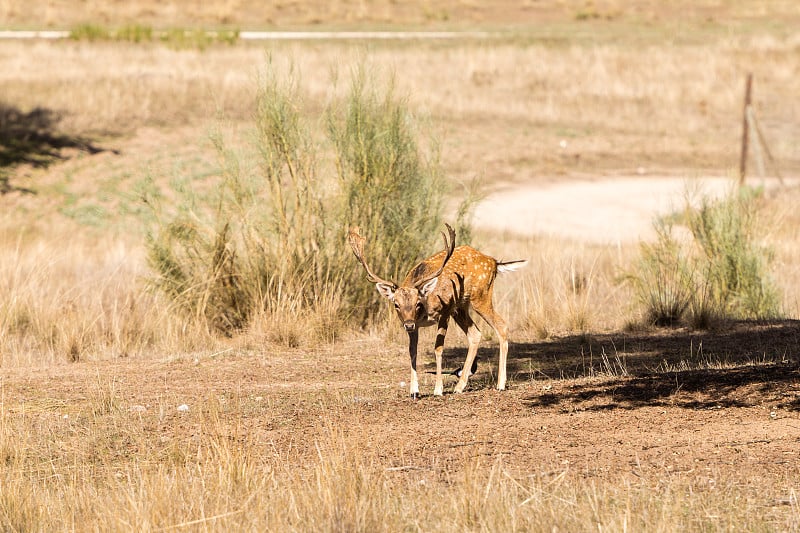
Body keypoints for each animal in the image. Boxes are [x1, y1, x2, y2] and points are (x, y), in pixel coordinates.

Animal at [348, 222, 524, 396]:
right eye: (396, 304)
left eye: (418, 302)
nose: (408, 324)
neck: (424, 311)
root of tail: (494, 261)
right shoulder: (418, 325)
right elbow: (412, 350)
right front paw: (414, 391)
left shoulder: (445, 310)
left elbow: (438, 348)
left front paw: (438, 389)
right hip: (461, 307)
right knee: (475, 334)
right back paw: (459, 386)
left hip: (480, 297)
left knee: (502, 325)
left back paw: (500, 384)